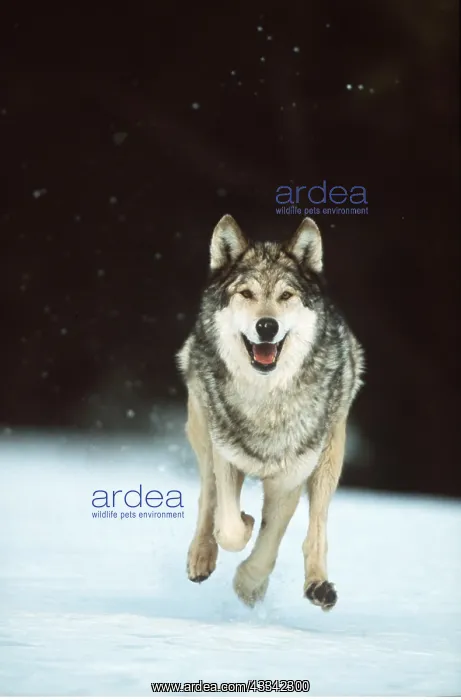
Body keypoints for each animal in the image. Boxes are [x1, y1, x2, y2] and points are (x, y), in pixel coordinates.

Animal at [177, 214, 364, 610]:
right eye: (246, 294)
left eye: (285, 296)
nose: (267, 326)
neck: (267, 404)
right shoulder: (226, 457)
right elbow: (230, 528)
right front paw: (243, 525)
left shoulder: (289, 479)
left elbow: (269, 545)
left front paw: (249, 587)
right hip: (203, 434)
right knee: (207, 497)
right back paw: (201, 557)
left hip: (330, 457)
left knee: (316, 529)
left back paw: (318, 586)